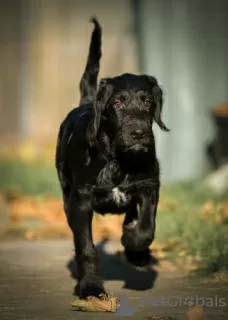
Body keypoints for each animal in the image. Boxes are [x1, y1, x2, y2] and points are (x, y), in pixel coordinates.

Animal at [55, 16, 169, 298]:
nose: (139, 133)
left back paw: (136, 253)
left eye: (148, 102)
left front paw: (134, 245)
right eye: (117, 103)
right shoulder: (81, 200)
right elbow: (85, 245)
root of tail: (87, 101)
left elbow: (146, 225)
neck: (118, 158)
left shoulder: (149, 185)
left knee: (131, 214)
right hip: (67, 194)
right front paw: (90, 288)